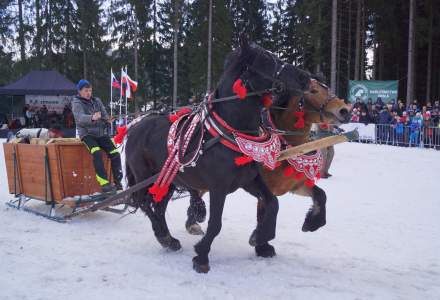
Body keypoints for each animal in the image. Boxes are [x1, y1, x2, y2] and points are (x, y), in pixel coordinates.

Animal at [123, 38, 310, 274]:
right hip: (145, 176)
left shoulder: (249, 181)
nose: (306, 77)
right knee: (145, 202)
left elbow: (273, 203)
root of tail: (134, 126)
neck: (229, 131)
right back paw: (162, 234)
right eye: (267, 61)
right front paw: (201, 256)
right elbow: (215, 223)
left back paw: (168, 238)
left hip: (168, 180)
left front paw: (261, 239)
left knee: (159, 205)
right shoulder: (218, 187)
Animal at [187, 78, 352, 238]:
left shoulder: (294, 186)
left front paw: (312, 223)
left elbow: (321, 195)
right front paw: (260, 240)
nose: (345, 110)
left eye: (327, 88)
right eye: (313, 91)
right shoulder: (265, 188)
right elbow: (264, 214)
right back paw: (193, 220)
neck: (285, 144)